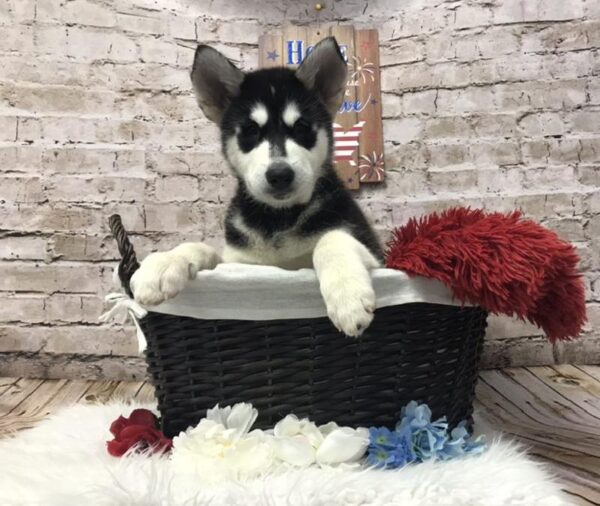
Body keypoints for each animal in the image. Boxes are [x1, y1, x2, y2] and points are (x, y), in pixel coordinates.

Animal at [132, 38, 384, 336]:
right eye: (251, 130)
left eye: (301, 127)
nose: (280, 174)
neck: (277, 218)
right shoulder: (238, 263)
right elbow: (204, 249)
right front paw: (164, 262)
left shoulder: (377, 254)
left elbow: (332, 238)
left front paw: (348, 296)